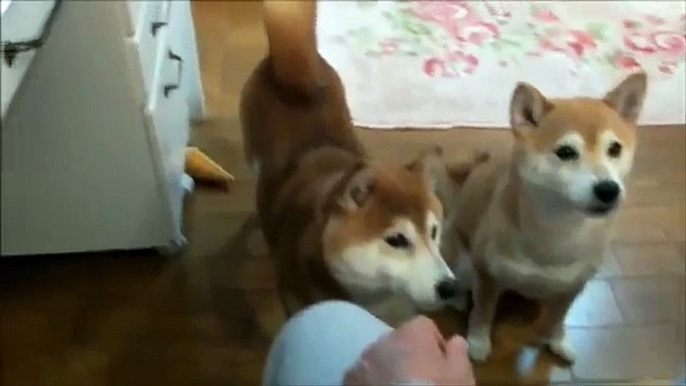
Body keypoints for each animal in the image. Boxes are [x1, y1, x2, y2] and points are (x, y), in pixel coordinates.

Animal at [452, 71, 652, 362]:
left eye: (615, 149)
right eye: (566, 152)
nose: (608, 189)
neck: (557, 231)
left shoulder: (574, 286)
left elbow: (559, 318)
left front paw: (557, 340)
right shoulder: (486, 272)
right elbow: (483, 312)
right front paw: (478, 341)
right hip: (463, 260)